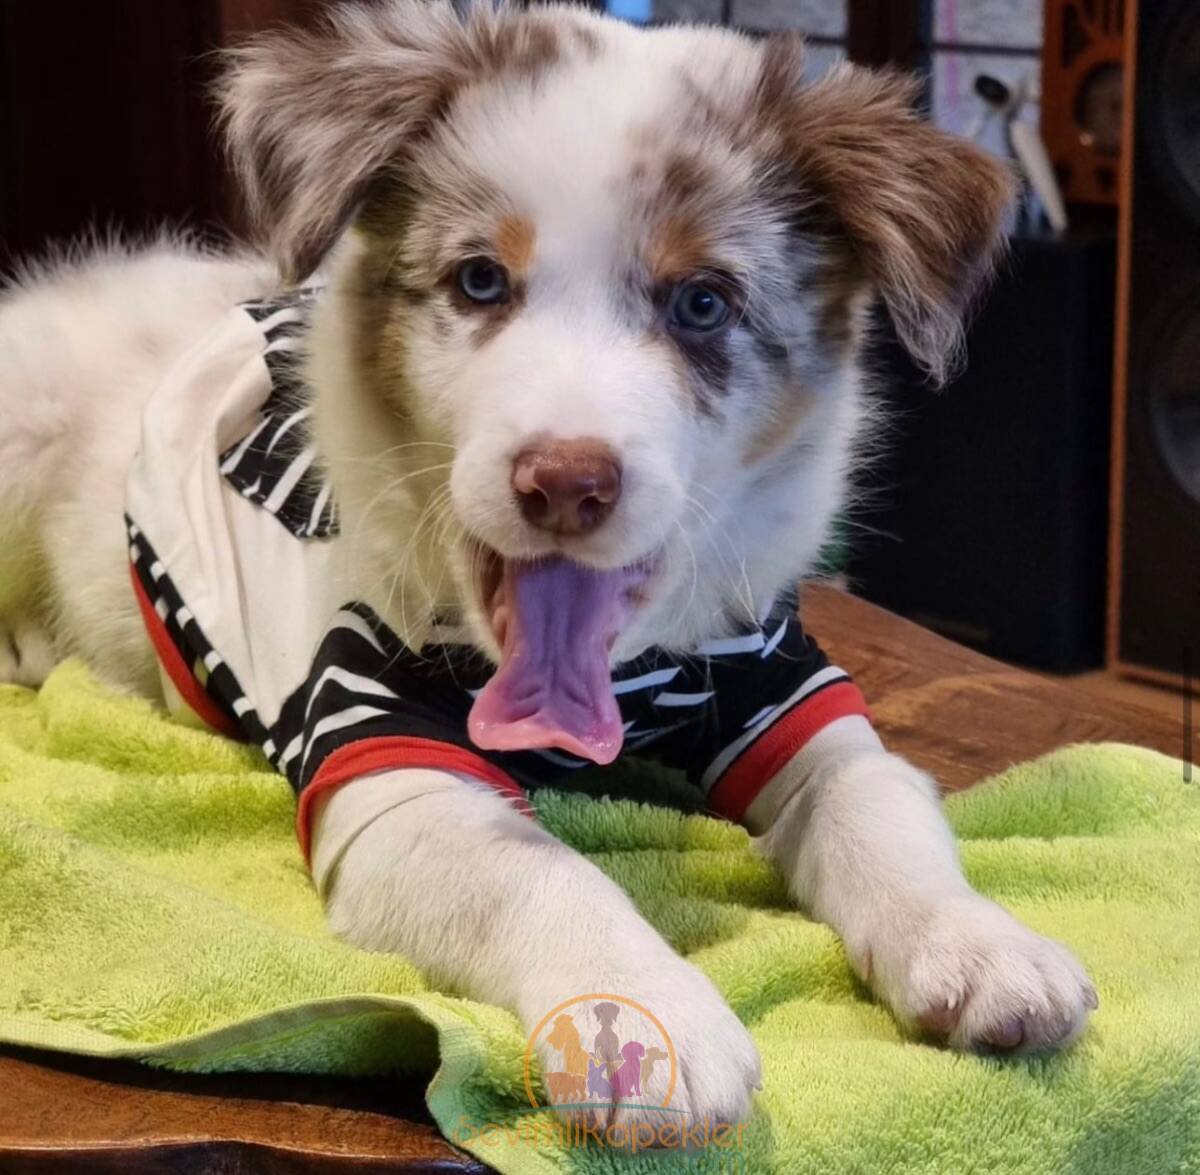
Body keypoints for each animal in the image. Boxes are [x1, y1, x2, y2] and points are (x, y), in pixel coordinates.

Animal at [0, 2, 1099, 1137]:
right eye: (479, 279)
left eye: (703, 304)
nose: (566, 482)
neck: (611, 679)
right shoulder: (381, 751)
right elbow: (534, 869)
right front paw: (646, 1010)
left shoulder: (782, 686)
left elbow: (876, 800)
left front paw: (978, 944)